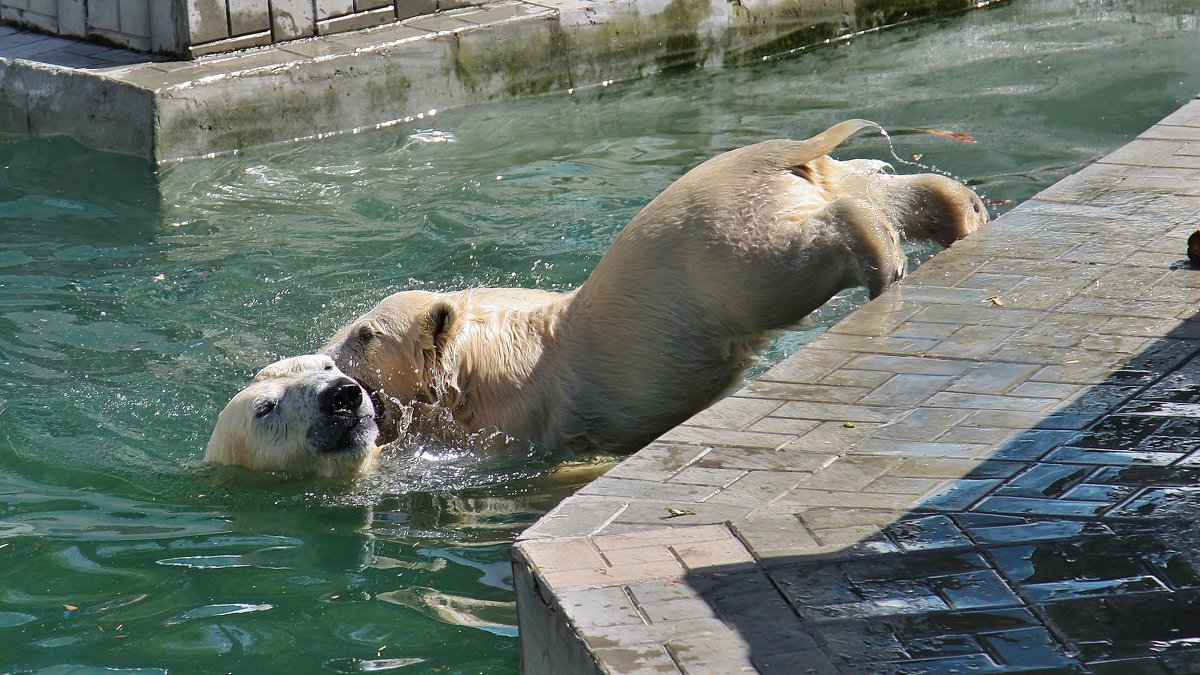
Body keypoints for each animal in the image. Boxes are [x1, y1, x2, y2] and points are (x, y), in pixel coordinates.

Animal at [324, 118, 988, 454]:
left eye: (363, 335)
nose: (328, 361)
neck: (485, 357)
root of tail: (772, 154)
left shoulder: (518, 419)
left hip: (722, 252)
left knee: (794, 258)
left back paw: (883, 260)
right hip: (810, 179)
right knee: (875, 186)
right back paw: (963, 212)